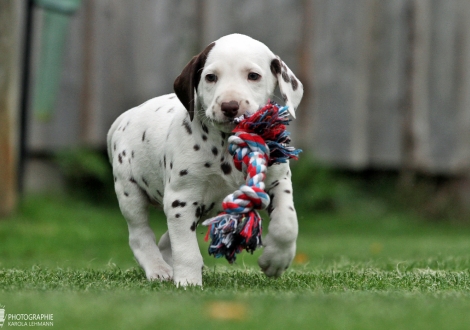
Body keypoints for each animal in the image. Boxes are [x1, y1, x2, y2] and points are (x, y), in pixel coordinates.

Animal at [107, 34, 304, 286]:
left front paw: (276, 259)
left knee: (166, 239)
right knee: (140, 234)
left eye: (253, 76)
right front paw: (188, 283)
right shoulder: (181, 199)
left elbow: (287, 223)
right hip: (130, 193)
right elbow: (185, 248)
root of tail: (123, 119)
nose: (230, 106)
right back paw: (158, 268)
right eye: (211, 77)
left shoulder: (278, 181)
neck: (227, 145)